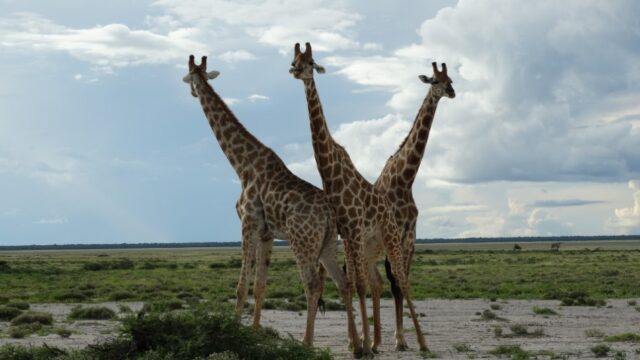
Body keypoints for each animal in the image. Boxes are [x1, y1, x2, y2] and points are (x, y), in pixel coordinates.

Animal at [182, 54, 358, 346]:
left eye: (189, 78)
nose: (192, 92)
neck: (242, 165)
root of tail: (329, 215)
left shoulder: (248, 224)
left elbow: (242, 286)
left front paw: (232, 332)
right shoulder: (267, 234)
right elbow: (260, 285)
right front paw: (254, 332)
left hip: (302, 242)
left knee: (313, 284)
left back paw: (306, 343)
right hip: (328, 244)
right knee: (343, 281)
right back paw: (357, 346)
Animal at [292, 43, 430, 358]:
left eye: (311, 62)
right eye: (294, 59)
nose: (295, 70)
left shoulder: (355, 229)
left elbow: (361, 283)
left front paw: (365, 345)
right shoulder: (345, 232)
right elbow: (354, 282)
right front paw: (360, 343)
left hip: (390, 239)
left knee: (399, 281)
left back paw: (420, 343)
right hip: (368, 244)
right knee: (375, 280)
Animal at [376, 62, 456, 352]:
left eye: (450, 79)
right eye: (434, 80)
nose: (452, 92)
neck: (405, 179)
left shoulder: (409, 235)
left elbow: (403, 281)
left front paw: (404, 338)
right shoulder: (394, 233)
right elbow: (397, 283)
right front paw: (399, 339)